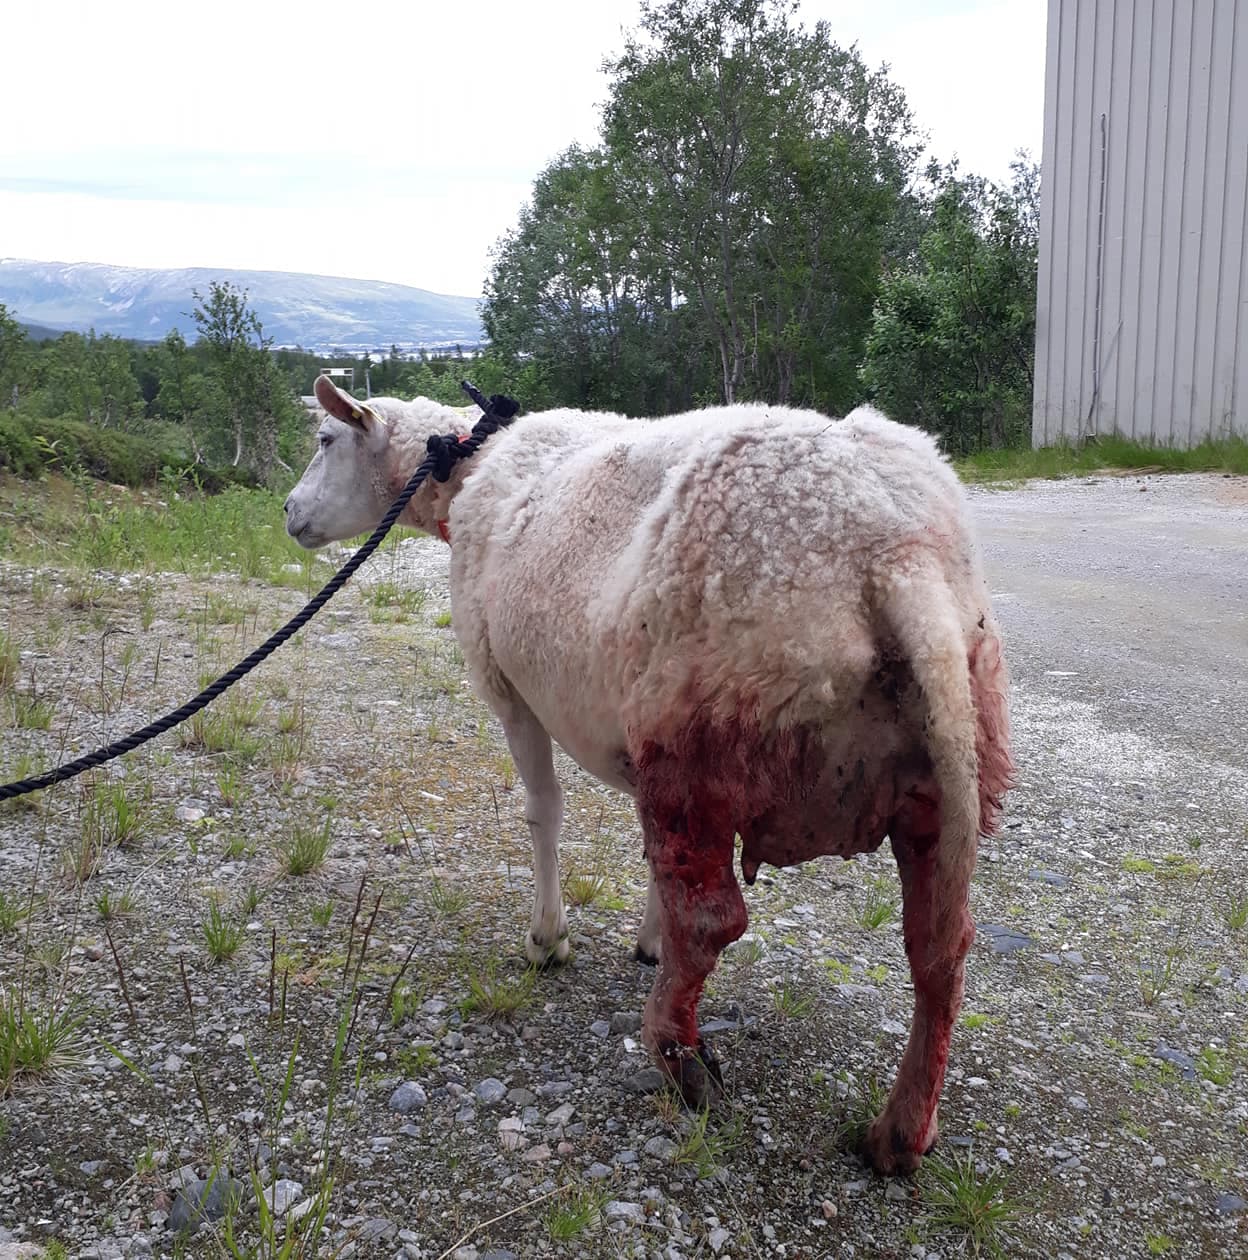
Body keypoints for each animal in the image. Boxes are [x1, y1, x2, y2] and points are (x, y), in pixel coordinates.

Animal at [285, 373, 1014, 1174]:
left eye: (325, 438)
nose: (287, 512)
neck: (471, 469)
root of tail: (896, 555)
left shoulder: (509, 688)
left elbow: (544, 812)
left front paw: (548, 940)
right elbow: (649, 861)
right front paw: (649, 938)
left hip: (697, 724)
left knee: (717, 920)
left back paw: (676, 1053)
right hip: (940, 759)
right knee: (940, 946)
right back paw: (902, 1131)